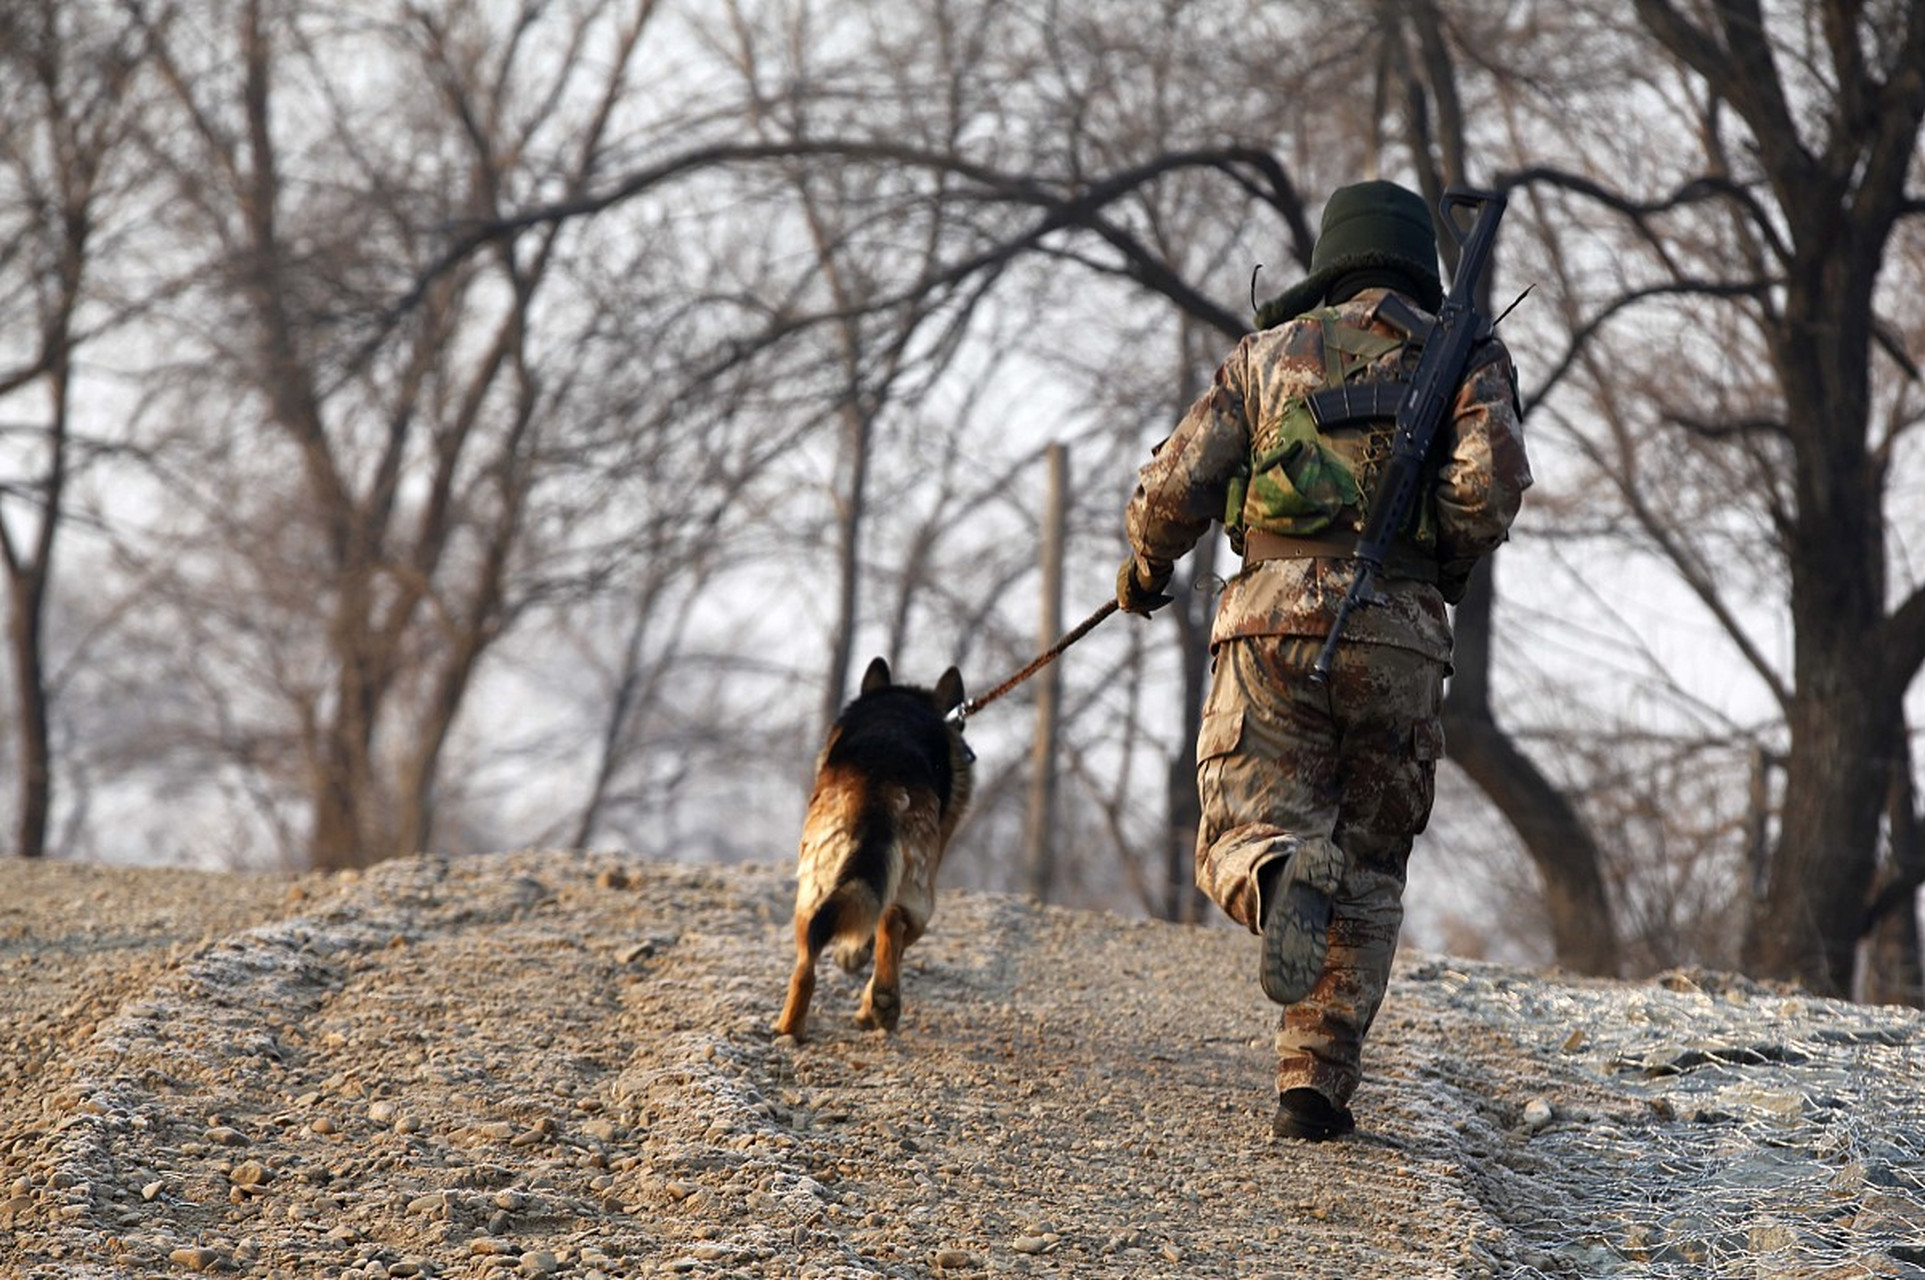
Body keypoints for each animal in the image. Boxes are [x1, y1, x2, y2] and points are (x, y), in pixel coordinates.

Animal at [770, 654, 970, 1031]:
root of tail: (880, 779)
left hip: (815, 887)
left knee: (807, 963)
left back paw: (790, 1029)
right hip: (919, 898)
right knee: (891, 920)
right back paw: (879, 1003)